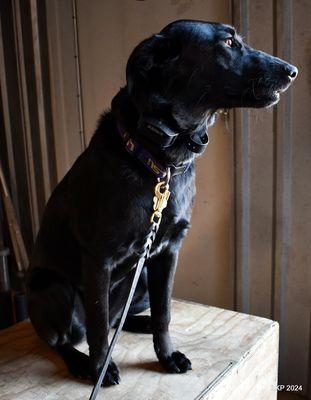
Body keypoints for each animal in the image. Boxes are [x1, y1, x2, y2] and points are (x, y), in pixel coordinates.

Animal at [26, 19, 298, 388]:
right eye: (228, 43)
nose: (293, 71)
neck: (161, 161)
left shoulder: (168, 252)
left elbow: (164, 312)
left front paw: (166, 356)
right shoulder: (99, 260)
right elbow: (97, 326)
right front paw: (100, 368)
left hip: (139, 280)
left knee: (120, 317)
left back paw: (138, 324)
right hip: (54, 288)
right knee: (65, 338)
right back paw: (81, 362)